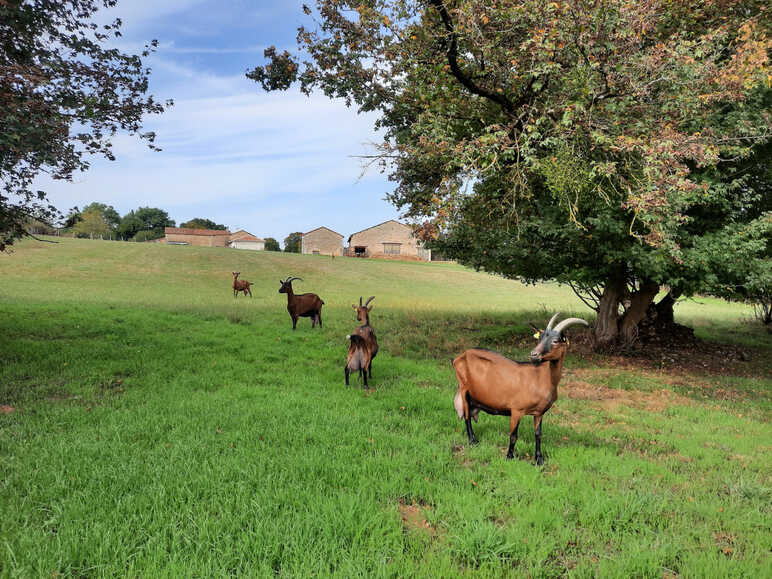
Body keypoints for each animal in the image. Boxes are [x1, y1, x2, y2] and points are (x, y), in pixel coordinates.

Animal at [450, 314, 588, 464]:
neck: (540, 378)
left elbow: (538, 434)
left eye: (556, 341)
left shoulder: (539, 412)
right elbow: (513, 435)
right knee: (466, 415)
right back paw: (472, 441)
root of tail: (460, 357)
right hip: (464, 388)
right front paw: (509, 456)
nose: (534, 354)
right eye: (540, 338)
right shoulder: (516, 410)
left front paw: (539, 459)